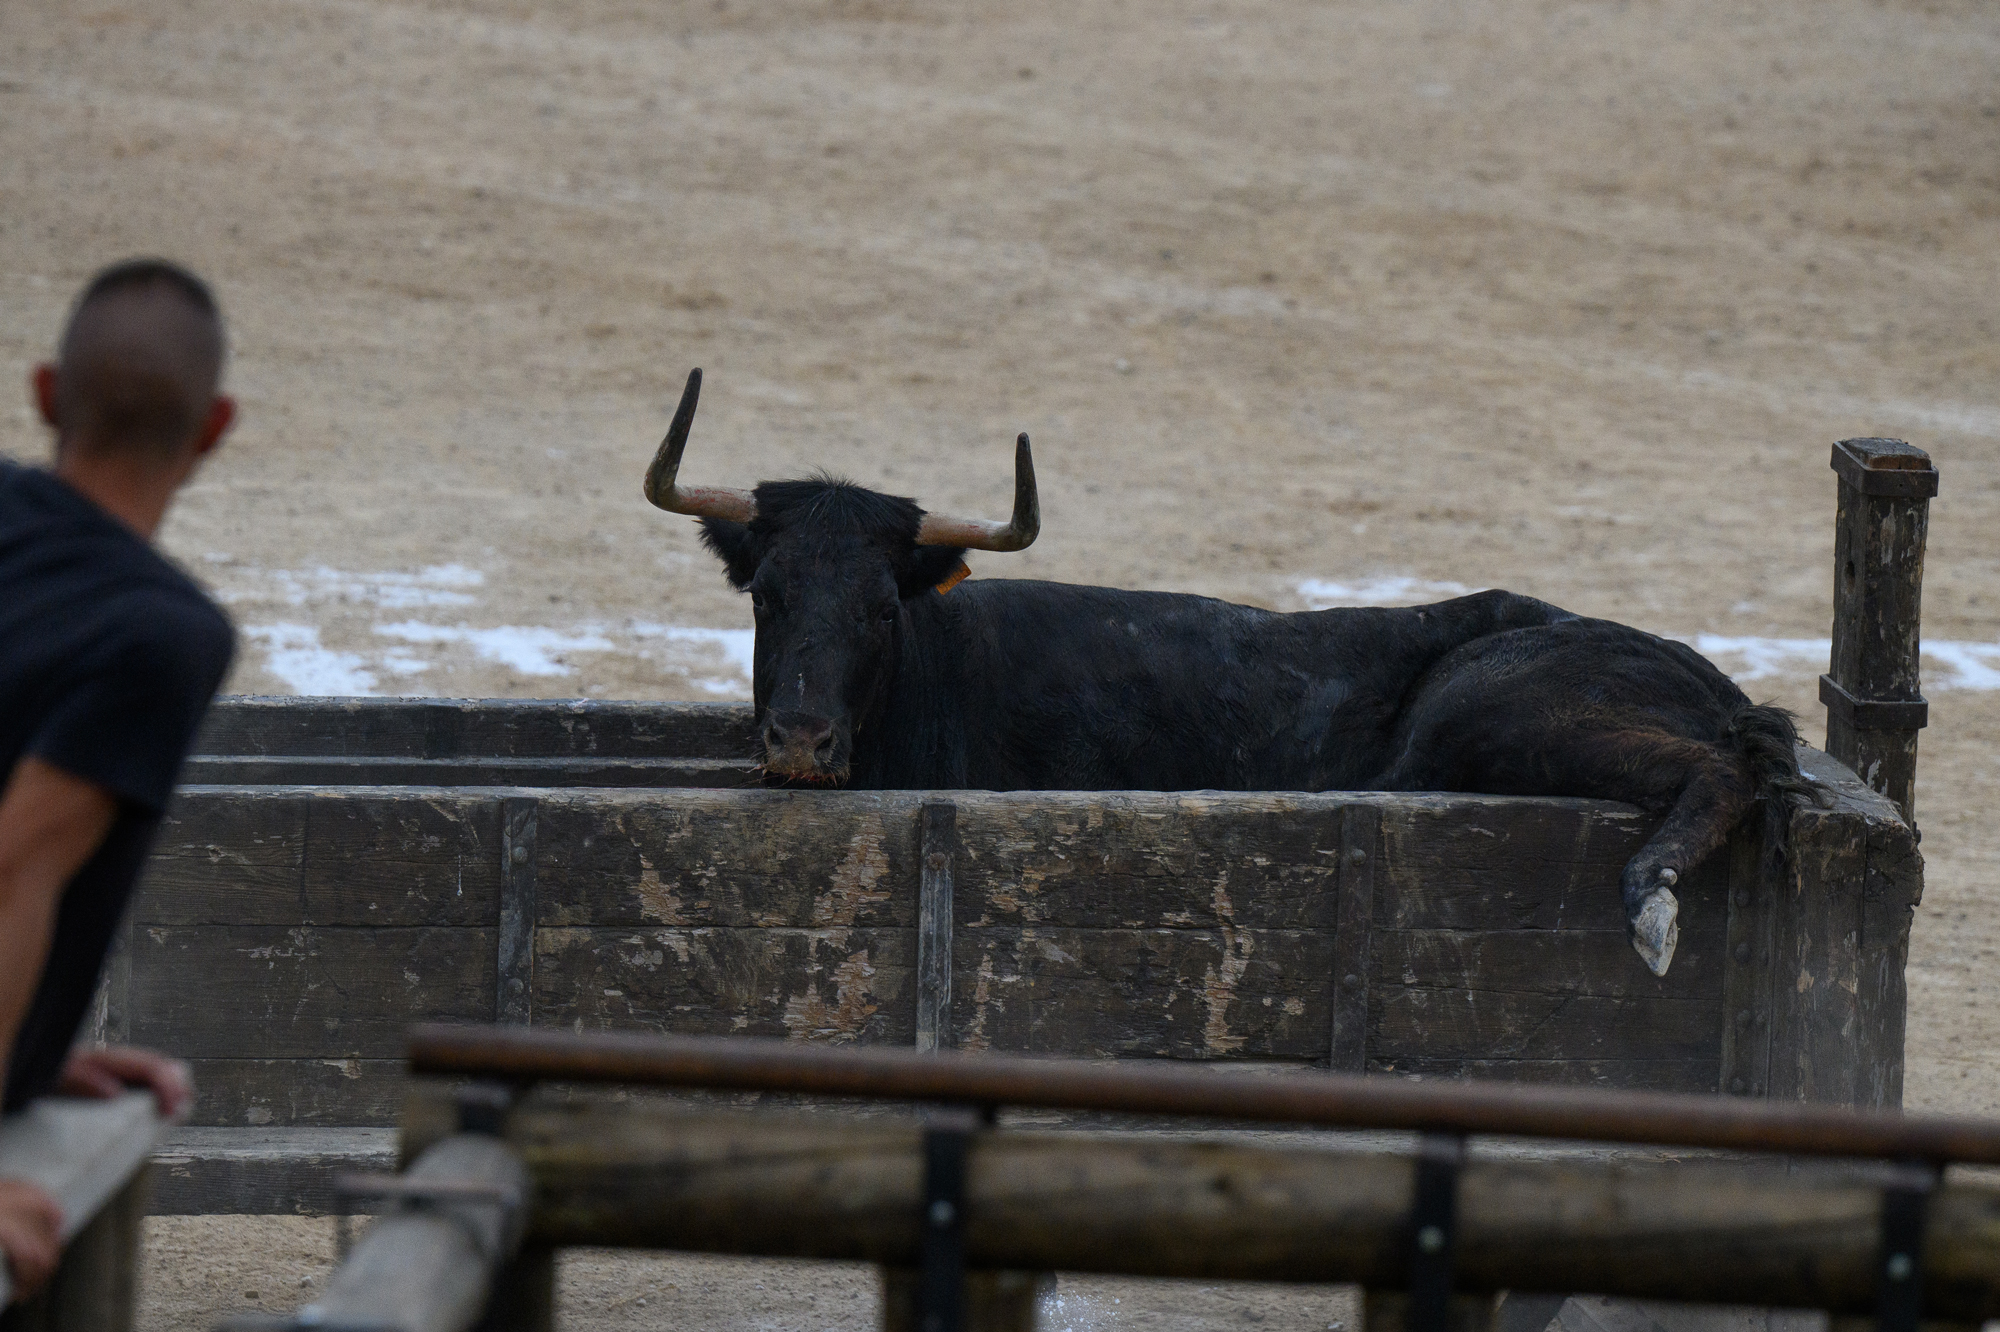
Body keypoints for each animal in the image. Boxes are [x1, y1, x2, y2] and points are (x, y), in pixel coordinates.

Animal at [643, 369, 1813, 977]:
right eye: (765, 595)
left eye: (882, 606)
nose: (800, 742)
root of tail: (1701, 676)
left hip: (1500, 716)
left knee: (1719, 771)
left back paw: (1649, 906)